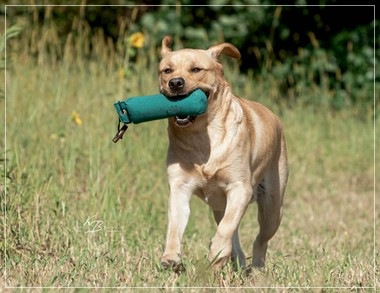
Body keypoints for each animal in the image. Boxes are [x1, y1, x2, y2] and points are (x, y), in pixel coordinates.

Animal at [158, 35, 288, 268]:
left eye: (196, 69)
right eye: (167, 70)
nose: (175, 83)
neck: (201, 135)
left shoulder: (240, 187)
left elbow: (227, 227)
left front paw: (216, 252)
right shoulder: (179, 187)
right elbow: (175, 226)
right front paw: (171, 257)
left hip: (272, 207)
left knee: (259, 239)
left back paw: (255, 267)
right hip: (221, 206)